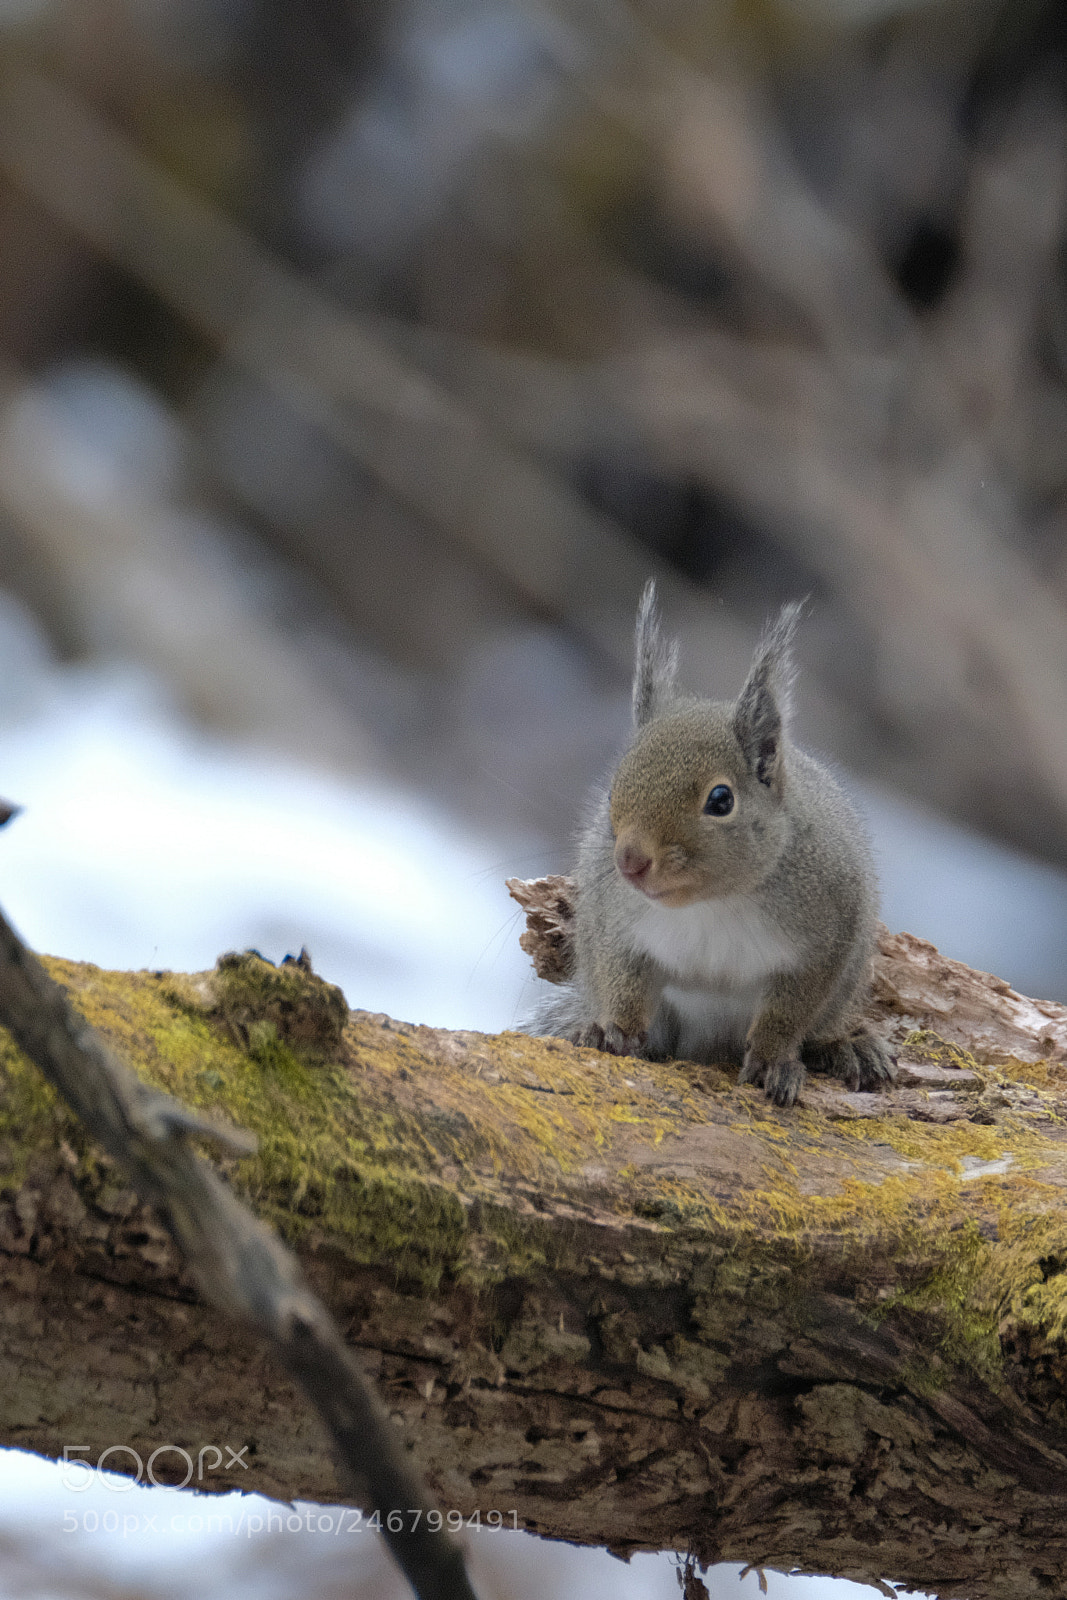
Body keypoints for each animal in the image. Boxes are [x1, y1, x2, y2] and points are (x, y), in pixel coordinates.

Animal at [533, 582, 893, 1107]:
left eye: (721, 800)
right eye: (613, 788)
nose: (630, 862)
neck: (712, 902)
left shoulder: (826, 940)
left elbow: (789, 1013)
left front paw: (773, 1061)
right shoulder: (614, 919)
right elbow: (623, 979)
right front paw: (611, 1031)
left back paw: (848, 1046)